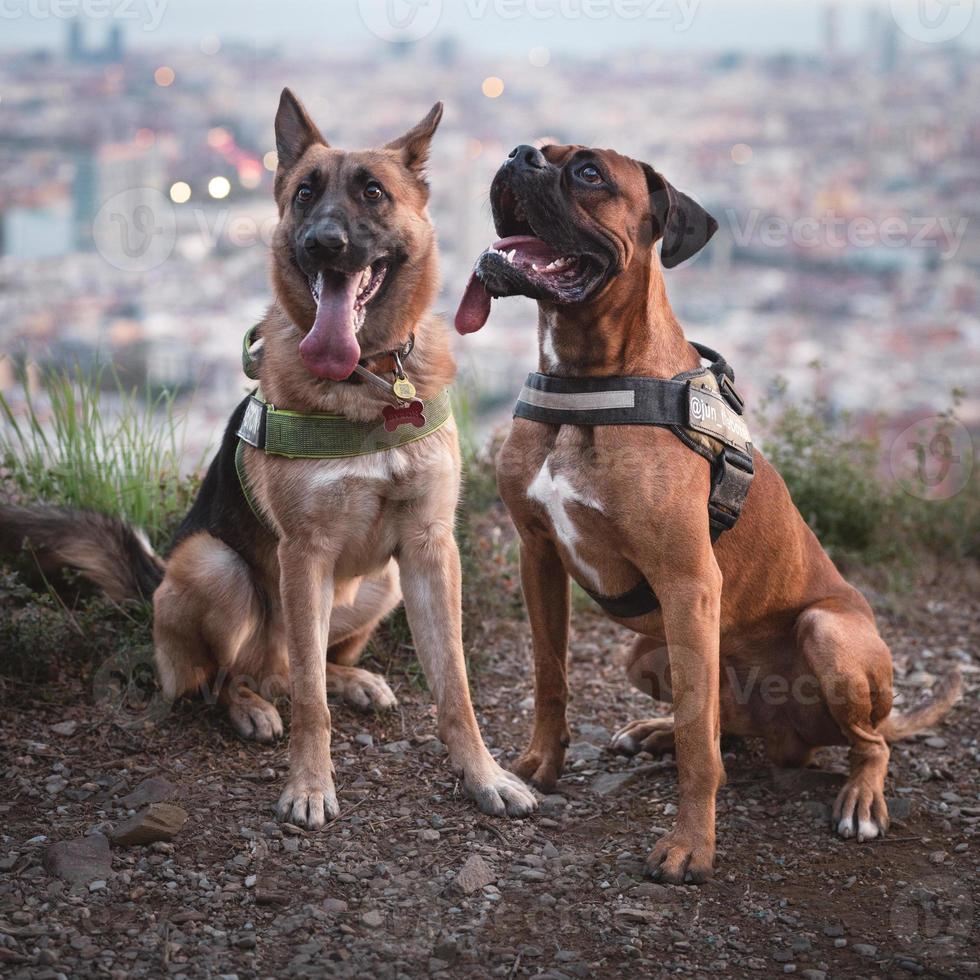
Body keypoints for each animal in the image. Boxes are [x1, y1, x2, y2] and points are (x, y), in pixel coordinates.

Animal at [0, 90, 536, 828]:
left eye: (373, 192)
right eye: (304, 193)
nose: (323, 244)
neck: (367, 378)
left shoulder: (430, 550)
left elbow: (453, 686)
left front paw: (483, 775)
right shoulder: (303, 554)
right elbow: (310, 705)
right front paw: (310, 785)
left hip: (384, 583)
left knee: (305, 665)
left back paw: (352, 679)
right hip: (217, 569)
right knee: (234, 679)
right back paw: (250, 706)